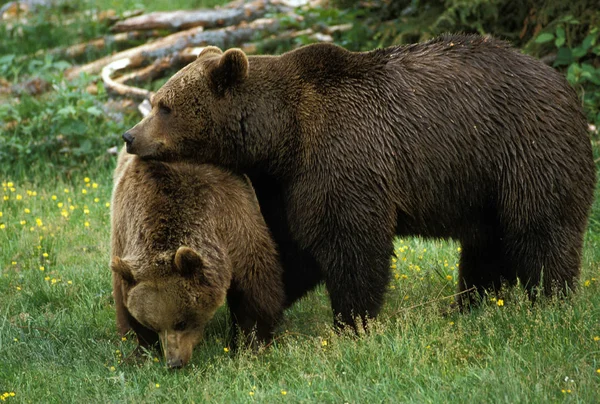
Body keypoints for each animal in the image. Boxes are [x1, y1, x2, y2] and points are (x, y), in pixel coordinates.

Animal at [111, 147, 284, 368]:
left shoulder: (230, 215)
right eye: (154, 325)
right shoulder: (124, 231)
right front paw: (141, 350)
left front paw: (252, 343)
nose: (174, 362)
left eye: (181, 322)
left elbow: (254, 282)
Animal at [122, 34, 596, 330]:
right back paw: (469, 305)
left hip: (523, 150)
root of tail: (566, 85)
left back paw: (549, 301)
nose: (129, 136)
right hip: (481, 184)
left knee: (540, 229)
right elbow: (289, 247)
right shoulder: (284, 182)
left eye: (164, 106)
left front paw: (351, 322)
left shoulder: (341, 155)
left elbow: (350, 243)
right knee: (486, 244)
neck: (281, 136)